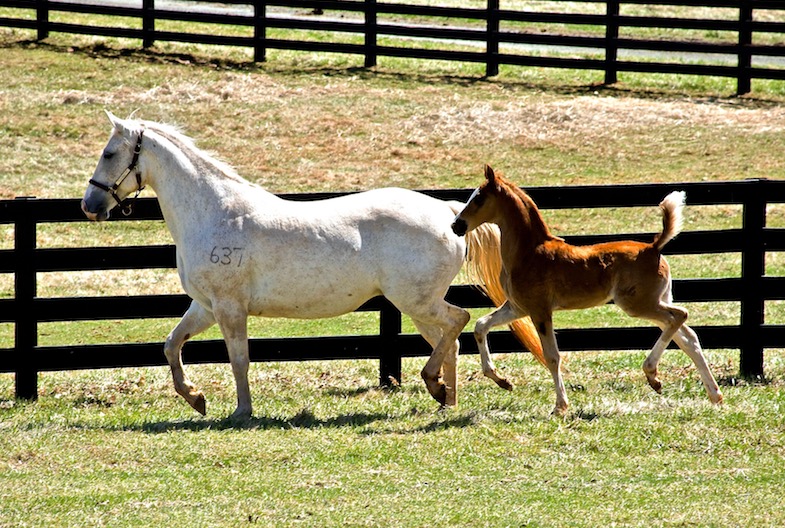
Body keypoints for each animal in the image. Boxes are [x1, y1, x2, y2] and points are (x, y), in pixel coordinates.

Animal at [82, 112, 544, 420]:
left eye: (109, 153)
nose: (90, 205)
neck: (215, 212)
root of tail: (448, 214)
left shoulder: (230, 309)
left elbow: (238, 360)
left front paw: (241, 412)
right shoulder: (206, 307)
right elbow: (171, 344)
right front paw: (196, 398)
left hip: (416, 300)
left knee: (458, 322)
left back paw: (439, 385)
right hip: (418, 304)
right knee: (450, 338)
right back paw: (445, 399)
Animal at [454, 167, 724, 414]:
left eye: (479, 198)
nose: (456, 225)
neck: (528, 253)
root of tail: (653, 247)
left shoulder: (540, 310)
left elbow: (552, 356)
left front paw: (560, 406)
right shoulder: (518, 307)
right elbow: (481, 325)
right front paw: (502, 381)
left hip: (638, 304)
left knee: (680, 316)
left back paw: (653, 375)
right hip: (656, 300)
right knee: (688, 337)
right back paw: (713, 395)